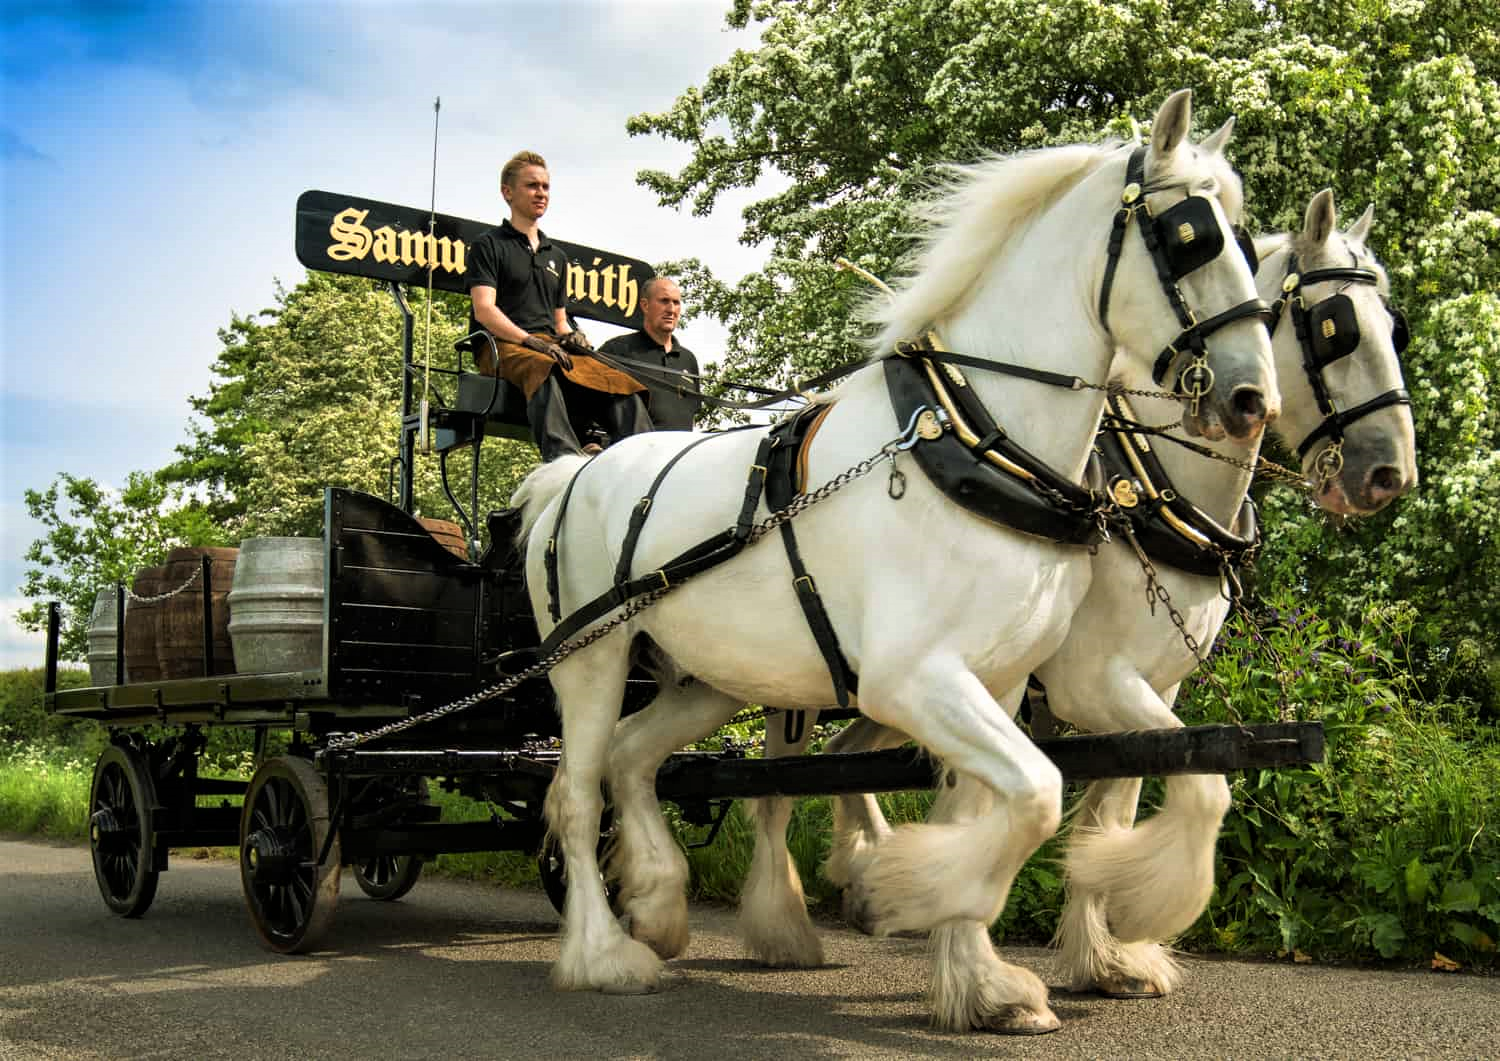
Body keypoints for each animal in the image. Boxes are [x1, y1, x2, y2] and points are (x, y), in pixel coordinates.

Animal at [519, 87, 1278, 1032]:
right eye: (1188, 235)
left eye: (1247, 240)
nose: (1253, 398)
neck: (979, 441)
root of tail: (575, 471)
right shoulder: (914, 678)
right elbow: (1035, 793)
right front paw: (909, 889)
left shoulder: (997, 681)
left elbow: (999, 803)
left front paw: (981, 977)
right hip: (590, 659)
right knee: (577, 793)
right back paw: (602, 954)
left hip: (710, 675)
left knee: (631, 759)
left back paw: (657, 905)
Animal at [750, 186, 1416, 1014]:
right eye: (1333, 327)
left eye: (1395, 327)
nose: (1391, 473)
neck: (1154, 487)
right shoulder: (1091, 681)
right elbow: (1189, 790)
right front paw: (1126, 917)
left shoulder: (1148, 688)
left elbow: (1121, 800)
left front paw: (1105, 946)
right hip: (801, 684)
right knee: (773, 790)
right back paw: (785, 924)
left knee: (846, 761)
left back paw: (872, 874)